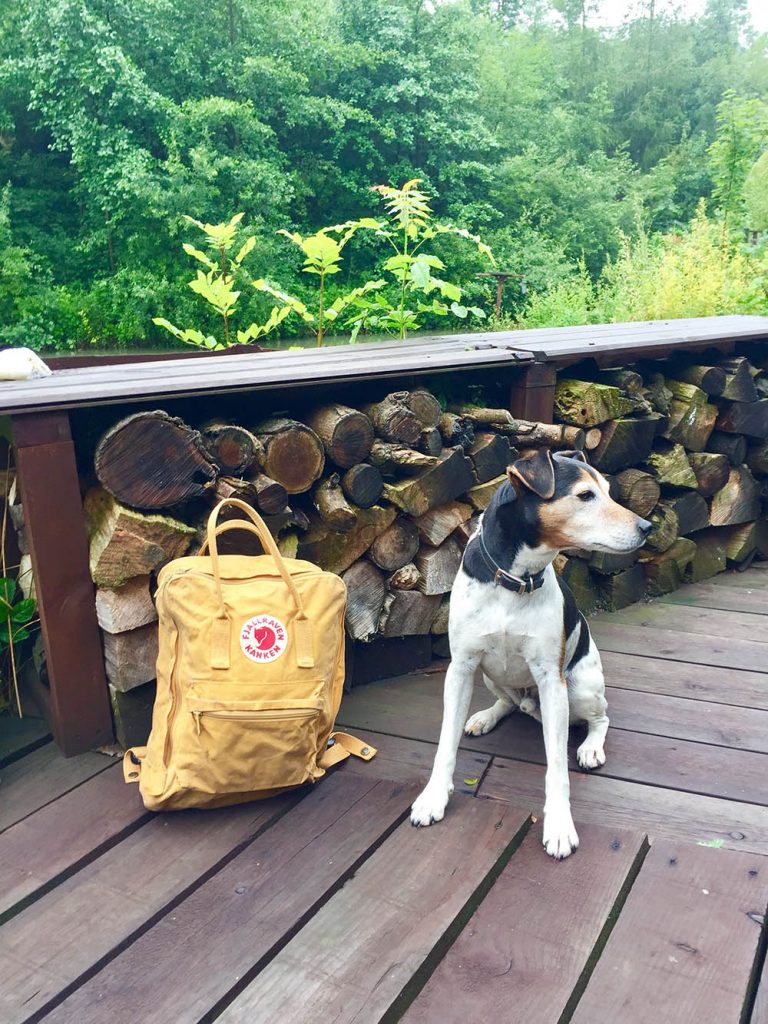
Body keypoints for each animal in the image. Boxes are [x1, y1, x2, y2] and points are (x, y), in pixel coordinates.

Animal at [411, 448, 651, 856]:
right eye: (586, 495)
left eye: (608, 491)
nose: (647, 527)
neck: (515, 580)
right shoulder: (461, 669)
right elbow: (446, 743)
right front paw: (433, 798)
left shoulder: (551, 680)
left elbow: (557, 766)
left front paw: (559, 825)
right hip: (491, 678)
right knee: (508, 702)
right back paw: (485, 717)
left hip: (580, 689)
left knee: (601, 718)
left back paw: (590, 748)